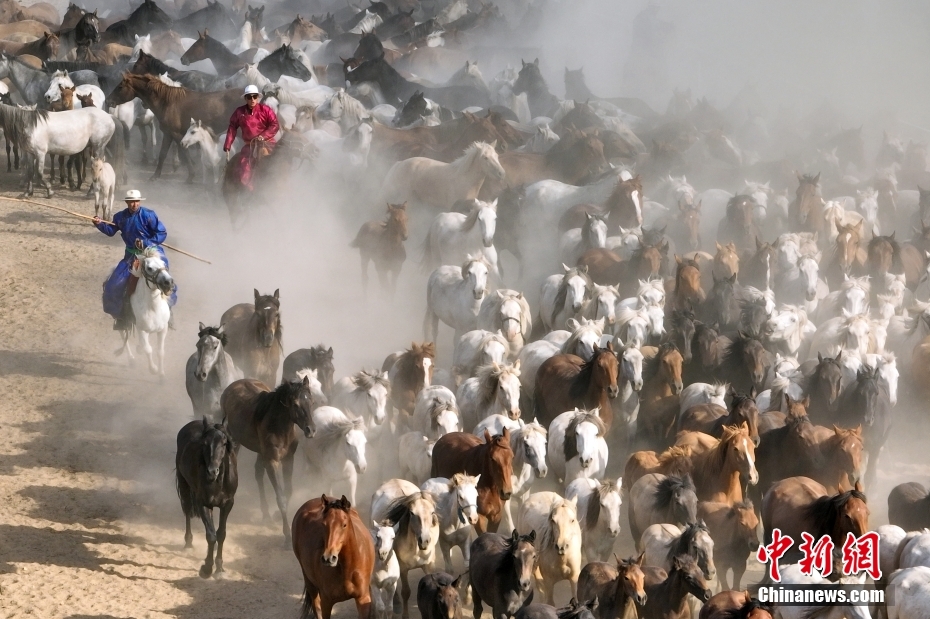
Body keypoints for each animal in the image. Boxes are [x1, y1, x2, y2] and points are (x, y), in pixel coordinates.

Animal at [105, 72, 243, 180]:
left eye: (120, 86)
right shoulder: (168, 133)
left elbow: (184, 152)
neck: (167, 102)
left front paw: (191, 175)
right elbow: (162, 154)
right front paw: (155, 176)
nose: (108, 101)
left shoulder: (176, 134)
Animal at [174, 416, 237, 580]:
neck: (218, 482)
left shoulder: (228, 504)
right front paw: (207, 569)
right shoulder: (203, 503)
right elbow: (211, 535)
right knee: (187, 511)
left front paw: (220, 568)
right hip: (184, 484)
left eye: (224, 443)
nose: (212, 471)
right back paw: (188, 543)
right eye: (205, 443)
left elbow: (221, 534)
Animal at [221, 372, 316, 544]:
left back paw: (266, 514)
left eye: (311, 401)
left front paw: (276, 516)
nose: (310, 430)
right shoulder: (273, 461)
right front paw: (287, 535)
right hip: (236, 441)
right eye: (295, 404)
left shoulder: (288, 459)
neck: (280, 426)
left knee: (258, 472)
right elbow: (281, 497)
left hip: (261, 451)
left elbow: (288, 490)